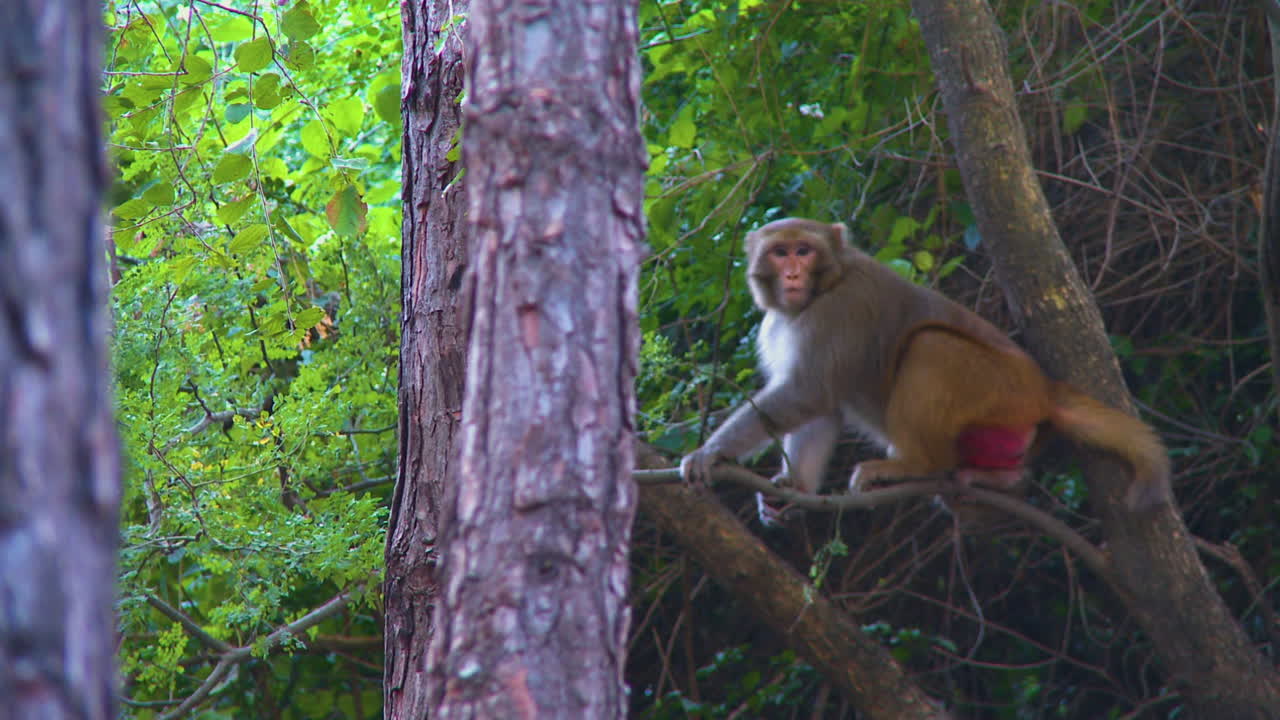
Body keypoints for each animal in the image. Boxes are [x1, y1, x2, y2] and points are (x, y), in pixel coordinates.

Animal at [679, 217, 1171, 522]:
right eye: (780, 252)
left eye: (804, 250)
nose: (794, 274)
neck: (827, 285)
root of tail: (1046, 387)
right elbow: (822, 406)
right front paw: (793, 484)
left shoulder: (838, 313)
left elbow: (808, 391)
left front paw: (710, 453)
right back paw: (1000, 478)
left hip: (1000, 388)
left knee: (930, 346)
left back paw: (912, 465)